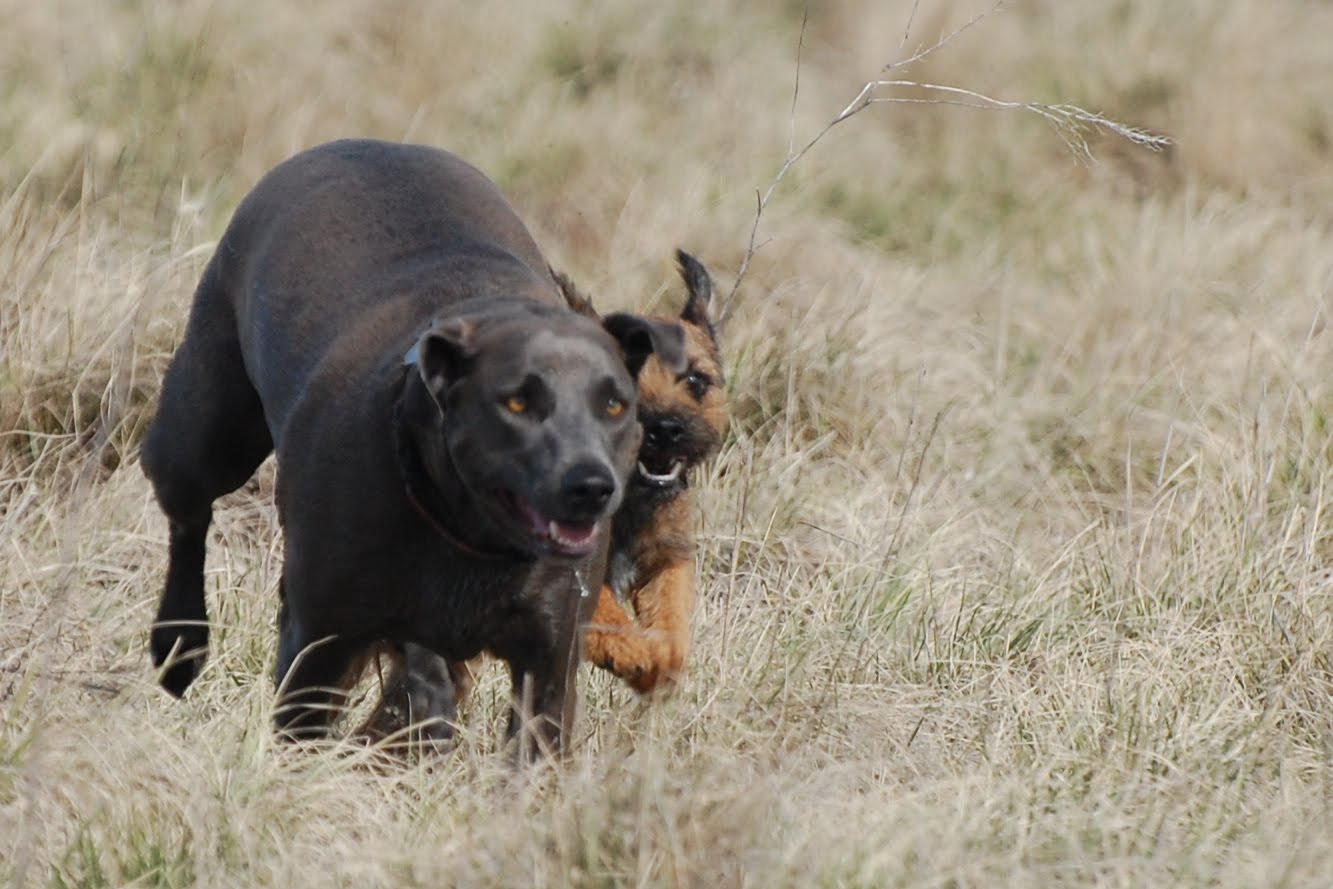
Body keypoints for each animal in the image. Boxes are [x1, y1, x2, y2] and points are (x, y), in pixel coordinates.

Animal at [144, 140, 682, 757]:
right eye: (517, 402)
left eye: (615, 405)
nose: (591, 486)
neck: (474, 543)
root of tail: (357, 144)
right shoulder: (319, 642)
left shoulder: (548, 661)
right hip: (206, 436)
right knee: (188, 519)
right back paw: (179, 645)